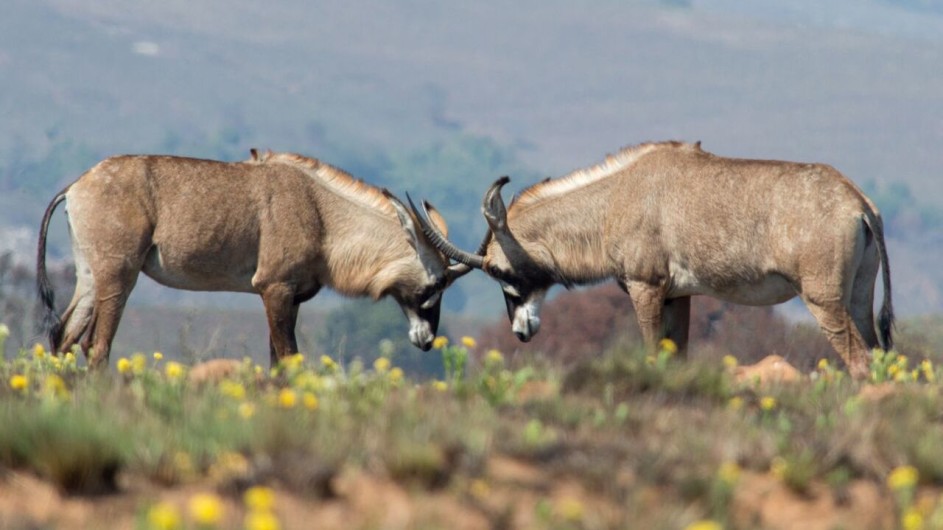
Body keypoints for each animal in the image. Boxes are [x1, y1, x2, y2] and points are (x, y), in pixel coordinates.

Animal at [37, 146, 468, 366]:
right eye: (435, 283)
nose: (427, 341)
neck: (320, 209)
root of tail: (75, 188)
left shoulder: (292, 297)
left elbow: (278, 361)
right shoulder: (273, 288)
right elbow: (288, 358)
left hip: (90, 277)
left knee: (63, 336)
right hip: (118, 277)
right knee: (96, 346)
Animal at [416, 141, 896, 380]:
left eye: (498, 270)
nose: (521, 332)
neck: (615, 196)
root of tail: (859, 204)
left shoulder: (646, 287)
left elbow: (651, 354)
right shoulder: (678, 296)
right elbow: (675, 358)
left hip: (823, 301)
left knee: (859, 361)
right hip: (857, 298)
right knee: (878, 357)